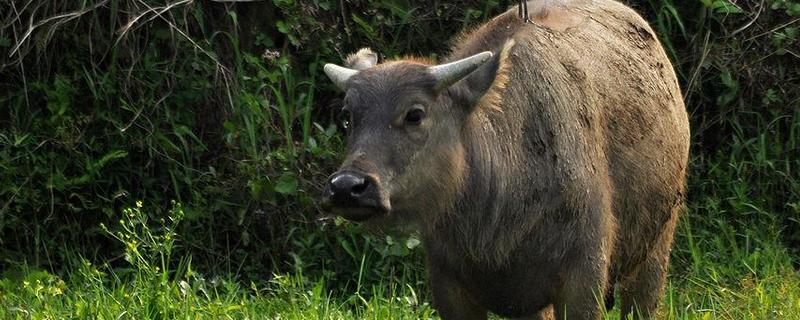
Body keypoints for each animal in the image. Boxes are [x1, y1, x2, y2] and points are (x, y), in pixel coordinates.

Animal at [322, 0, 692, 318]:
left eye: (415, 113)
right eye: (347, 115)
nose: (347, 187)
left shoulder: (584, 277)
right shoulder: (448, 283)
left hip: (657, 248)